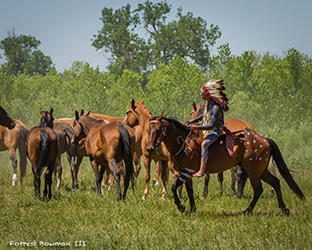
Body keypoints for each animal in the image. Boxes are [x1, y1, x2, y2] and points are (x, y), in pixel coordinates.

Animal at [146, 114, 304, 214]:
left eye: (158, 130)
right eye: (148, 129)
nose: (150, 148)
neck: (184, 142)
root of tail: (264, 139)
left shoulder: (187, 171)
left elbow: (174, 187)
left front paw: (181, 207)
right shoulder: (186, 173)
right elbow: (189, 191)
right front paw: (191, 208)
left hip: (254, 171)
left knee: (258, 189)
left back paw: (247, 210)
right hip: (261, 170)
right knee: (275, 182)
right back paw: (283, 209)